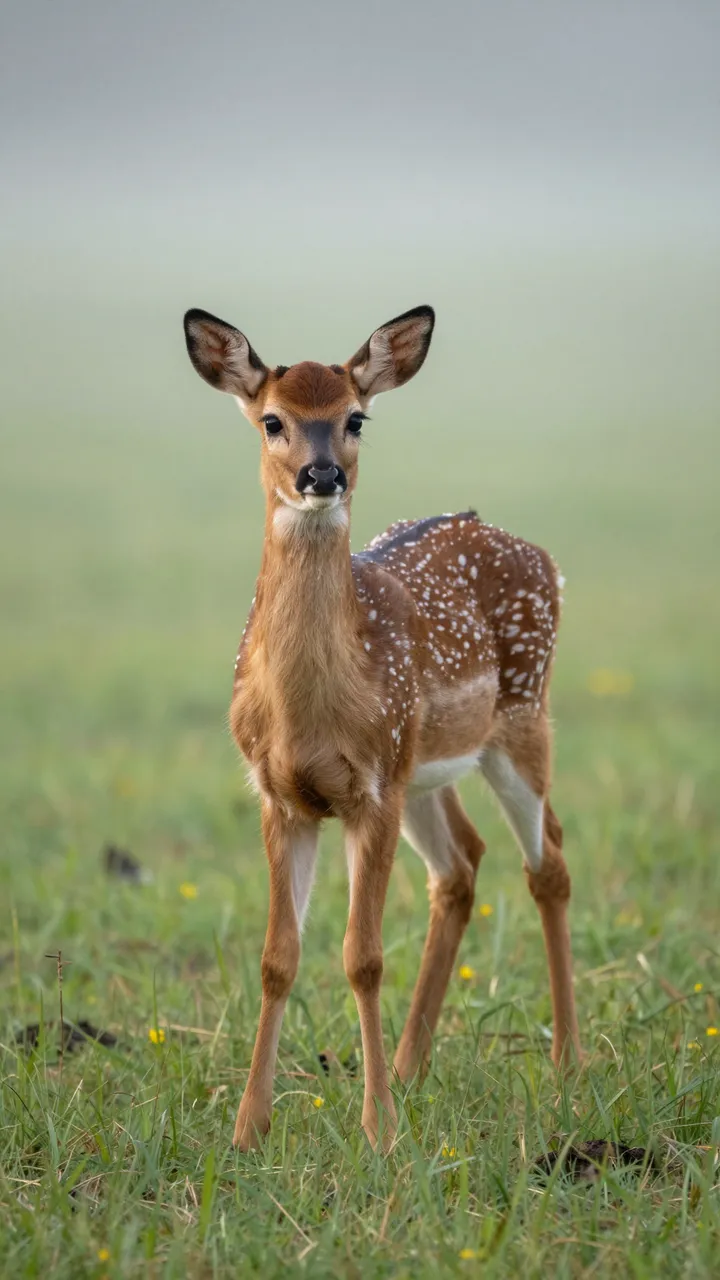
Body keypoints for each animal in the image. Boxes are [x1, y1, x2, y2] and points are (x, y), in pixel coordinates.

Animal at [183, 303, 581, 1152]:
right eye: (272, 420)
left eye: (355, 417)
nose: (321, 474)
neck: (313, 711)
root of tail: (537, 553)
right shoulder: (282, 795)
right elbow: (277, 957)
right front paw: (248, 1128)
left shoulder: (370, 791)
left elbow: (361, 957)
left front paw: (378, 1132)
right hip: (424, 768)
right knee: (461, 865)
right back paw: (408, 1065)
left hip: (519, 719)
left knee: (549, 861)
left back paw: (567, 1060)